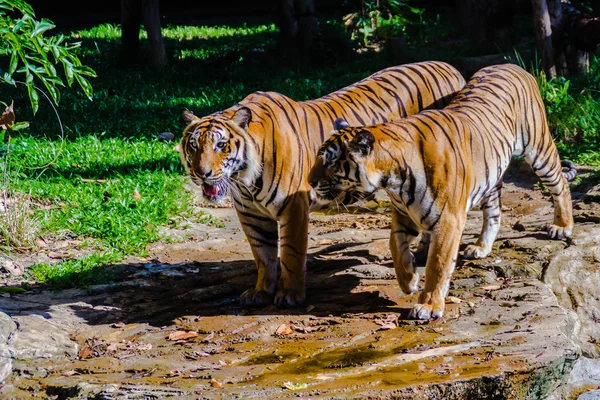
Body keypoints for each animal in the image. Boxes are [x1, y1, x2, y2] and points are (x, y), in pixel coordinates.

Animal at [176, 61, 466, 308]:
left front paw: (289, 295)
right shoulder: (251, 214)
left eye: (220, 145)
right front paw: (260, 292)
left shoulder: (292, 207)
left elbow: (291, 253)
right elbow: (263, 255)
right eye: (194, 146)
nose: (202, 173)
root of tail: (451, 67)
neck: (244, 180)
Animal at [310, 63, 576, 318]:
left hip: (538, 146)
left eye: (329, 162)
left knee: (560, 183)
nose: (310, 181)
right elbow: (395, 246)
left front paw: (428, 306)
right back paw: (481, 247)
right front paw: (408, 281)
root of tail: (512, 65)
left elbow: (437, 264)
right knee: (494, 212)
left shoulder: (448, 220)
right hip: (491, 175)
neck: (392, 180)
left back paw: (562, 227)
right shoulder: (403, 214)